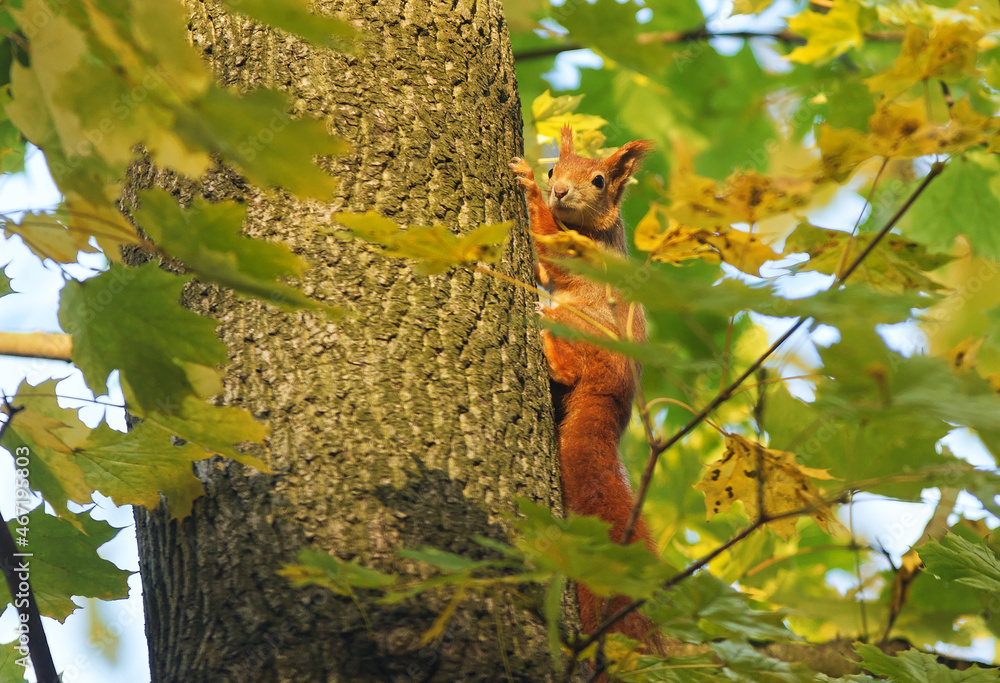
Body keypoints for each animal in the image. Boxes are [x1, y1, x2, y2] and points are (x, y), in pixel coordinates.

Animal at [511, 127, 664, 653]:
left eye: (598, 181)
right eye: (555, 167)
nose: (557, 190)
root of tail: (613, 399)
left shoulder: (582, 254)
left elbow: (549, 244)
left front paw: (527, 187)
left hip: (579, 328)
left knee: (568, 371)